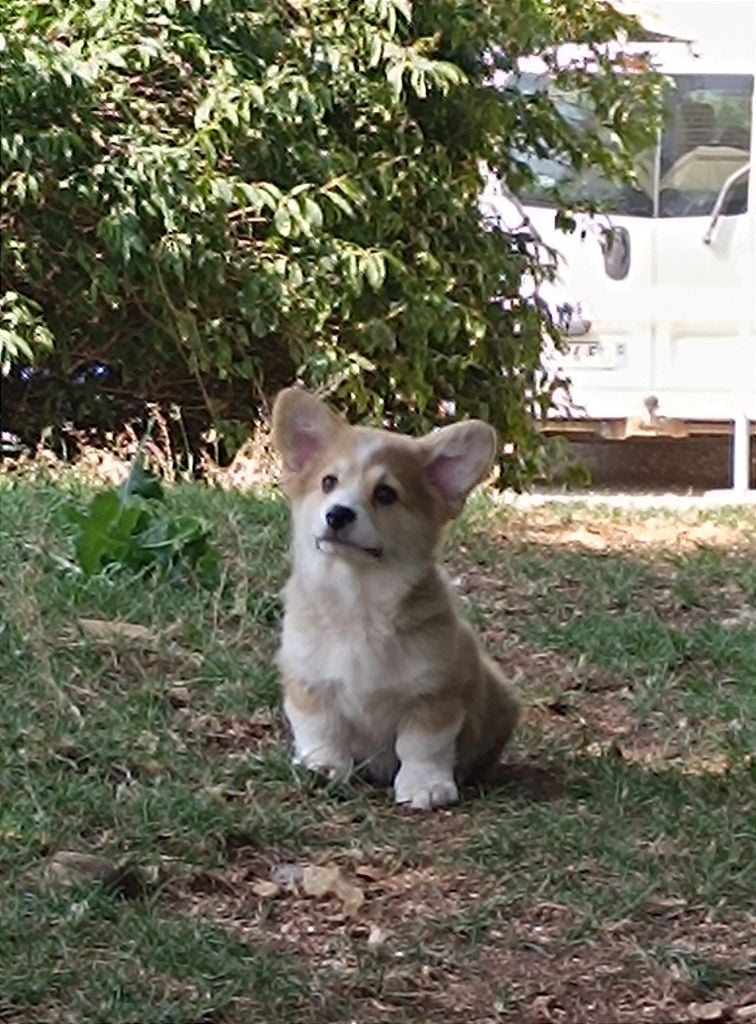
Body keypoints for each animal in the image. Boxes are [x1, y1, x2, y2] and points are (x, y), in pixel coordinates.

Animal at [270, 385, 518, 806]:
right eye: (328, 483)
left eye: (385, 494)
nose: (337, 514)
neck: (359, 600)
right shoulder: (308, 682)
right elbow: (321, 730)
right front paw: (322, 767)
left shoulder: (434, 695)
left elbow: (421, 746)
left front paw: (425, 787)